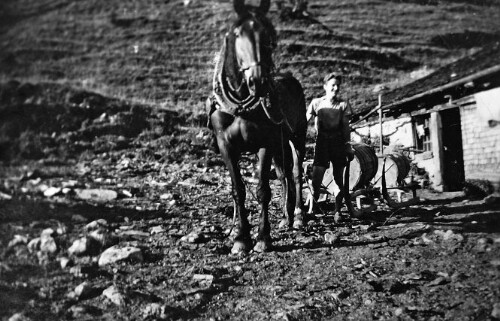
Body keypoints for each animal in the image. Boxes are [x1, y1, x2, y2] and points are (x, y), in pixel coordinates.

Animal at [208, 0, 308, 254]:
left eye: (266, 34)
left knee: (295, 173)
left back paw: (299, 216)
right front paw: (240, 239)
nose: (258, 81)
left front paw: (263, 238)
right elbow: (238, 190)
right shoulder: (226, 147)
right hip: (280, 145)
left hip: (297, 137)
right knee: (283, 175)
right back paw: (285, 217)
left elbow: (263, 190)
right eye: (237, 34)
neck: (240, 106)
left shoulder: (265, 143)